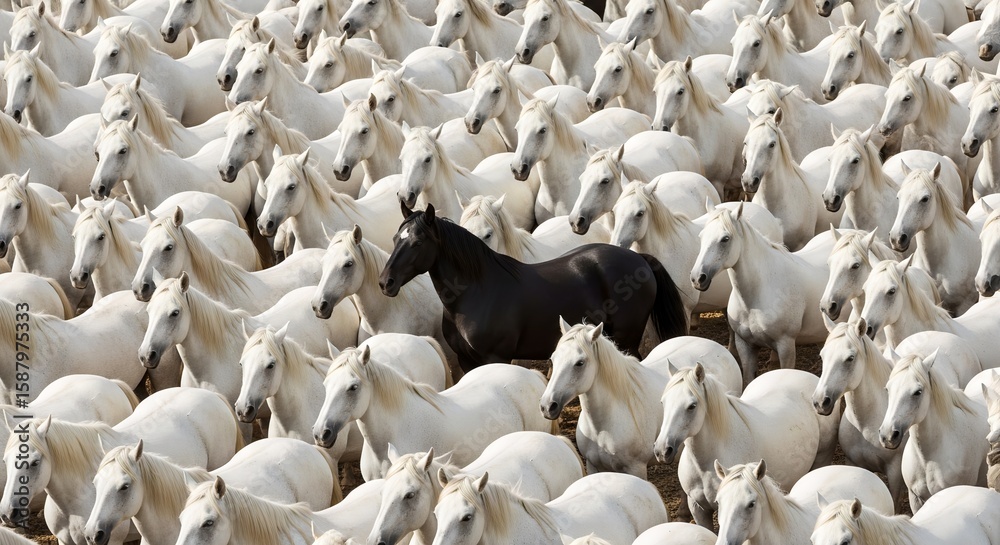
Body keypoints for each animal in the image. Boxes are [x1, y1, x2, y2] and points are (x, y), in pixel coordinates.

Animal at [0, 389, 241, 545]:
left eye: (34, 462)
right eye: (6, 460)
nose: (7, 513)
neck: (75, 502)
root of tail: (213, 396)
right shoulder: (64, 541)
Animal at [379, 205, 688, 370]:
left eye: (418, 242)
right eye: (395, 238)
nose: (385, 282)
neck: (475, 293)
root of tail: (640, 259)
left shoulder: (497, 357)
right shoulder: (466, 360)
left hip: (627, 337)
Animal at [543, 320, 741, 477]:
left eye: (580, 363)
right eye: (553, 359)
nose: (547, 406)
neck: (603, 425)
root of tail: (718, 347)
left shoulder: (635, 469)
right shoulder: (593, 466)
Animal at [655, 364, 839, 527]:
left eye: (692, 406)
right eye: (663, 402)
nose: (662, 450)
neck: (706, 466)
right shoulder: (698, 508)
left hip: (822, 458)